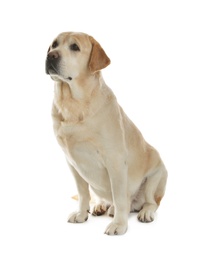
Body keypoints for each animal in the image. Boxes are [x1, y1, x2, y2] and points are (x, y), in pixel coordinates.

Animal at [45, 31, 167, 235]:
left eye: (75, 47)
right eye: (54, 45)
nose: (51, 56)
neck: (73, 104)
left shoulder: (115, 160)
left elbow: (119, 197)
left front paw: (119, 224)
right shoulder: (72, 163)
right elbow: (83, 193)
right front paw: (81, 214)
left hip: (156, 175)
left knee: (149, 202)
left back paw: (144, 212)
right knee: (103, 199)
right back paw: (101, 206)